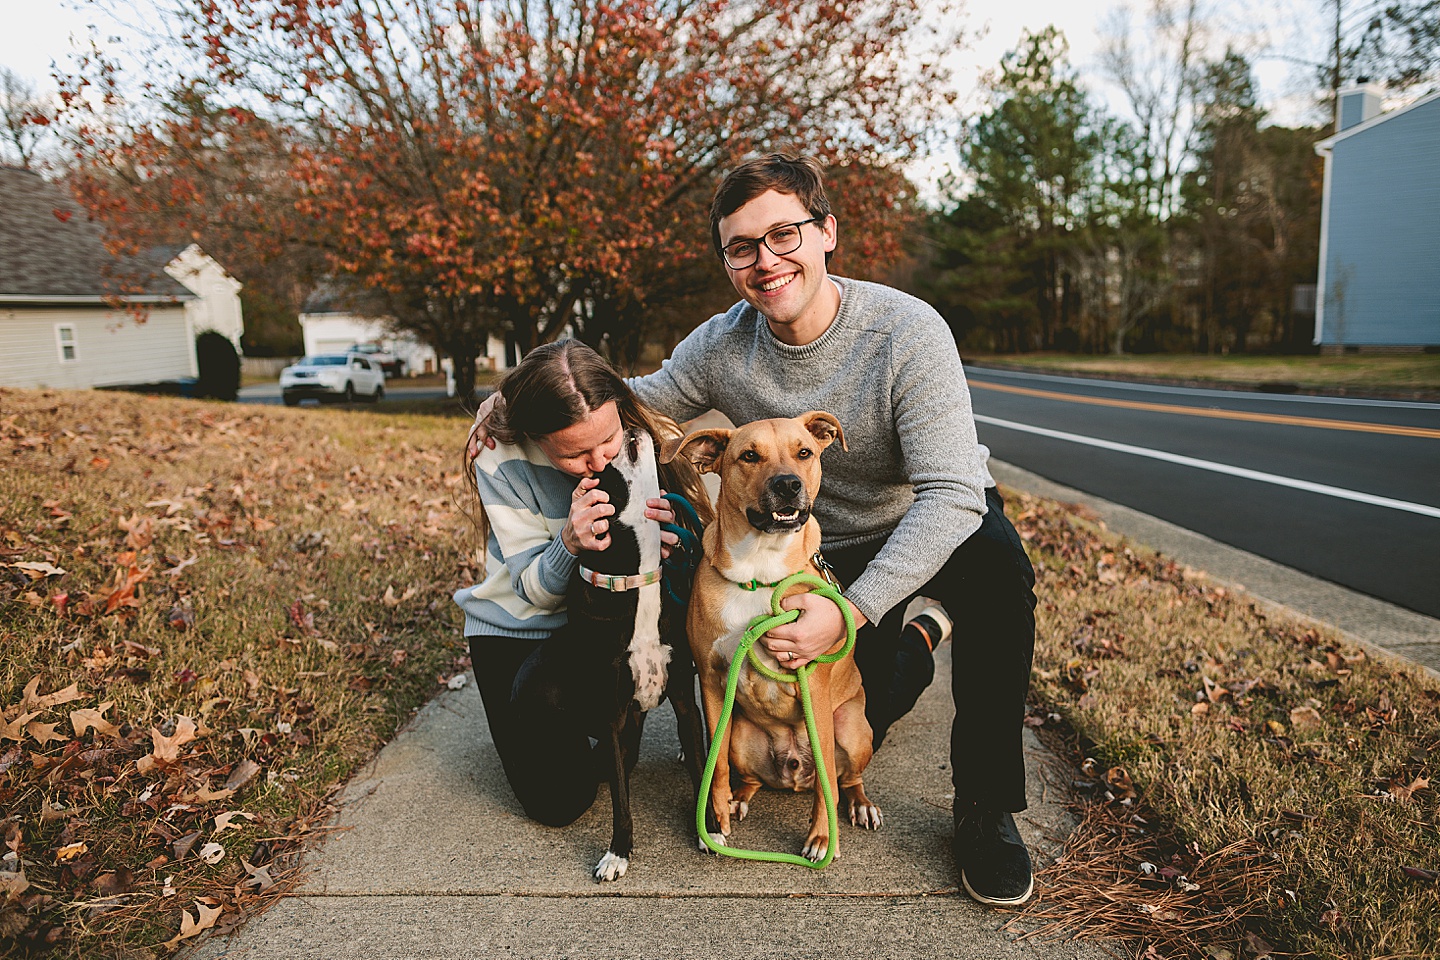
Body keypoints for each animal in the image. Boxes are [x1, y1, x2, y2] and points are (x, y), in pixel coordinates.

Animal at [573, 431, 708, 880]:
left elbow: (701, 769)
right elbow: (621, 800)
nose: (629, 431)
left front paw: (710, 829)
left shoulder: (683, 696)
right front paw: (618, 853)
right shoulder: (612, 720)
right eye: (598, 469)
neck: (641, 576)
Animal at [659, 408, 875, 857]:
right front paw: (715, 816)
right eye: (749, 456)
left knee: (844, 778)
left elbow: (828, 778)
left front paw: (822, 836)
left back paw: (860, 804)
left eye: (804, 452)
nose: (788, 484)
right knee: (750, 776)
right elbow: (716, 763)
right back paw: (739, 798)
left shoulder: (815, 687)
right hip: (742, 733)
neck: (760, 571)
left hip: (850, 727)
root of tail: (793, 773)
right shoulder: (711, 683)